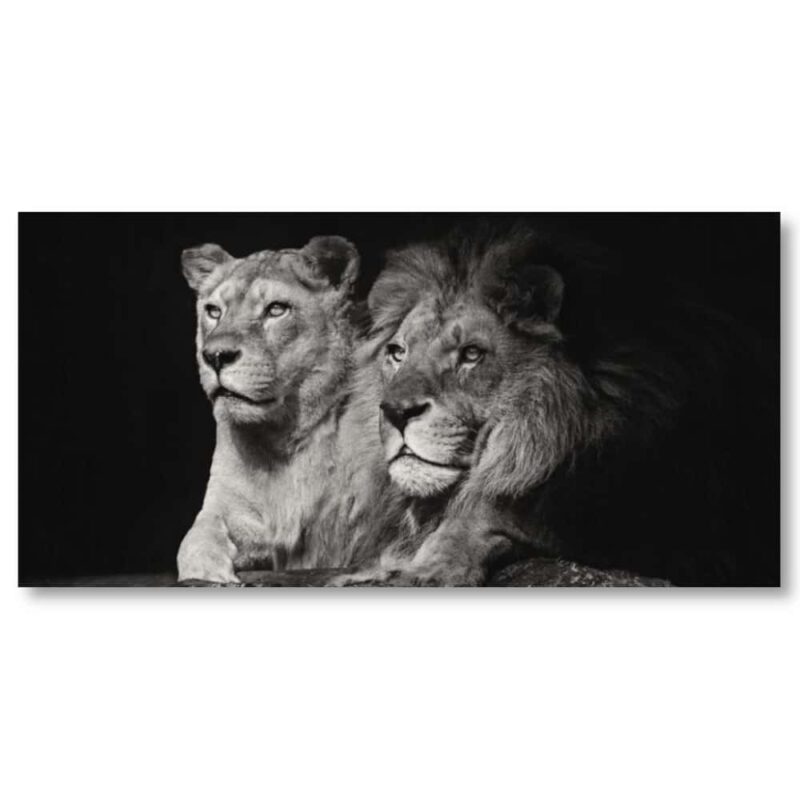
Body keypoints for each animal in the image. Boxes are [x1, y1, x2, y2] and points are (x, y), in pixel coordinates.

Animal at [176, 235, 399, 583]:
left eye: (276, 309)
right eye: (213, 311)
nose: (214, 356)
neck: (284, 437)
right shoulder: (228, 507)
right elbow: (194, 540)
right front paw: (209, 573)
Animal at [334, 226, 779, 587]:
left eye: (472, 354)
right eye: (397, 353)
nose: (396, 412)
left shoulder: (677, 527)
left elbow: (496, 505)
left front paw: (430, 564)